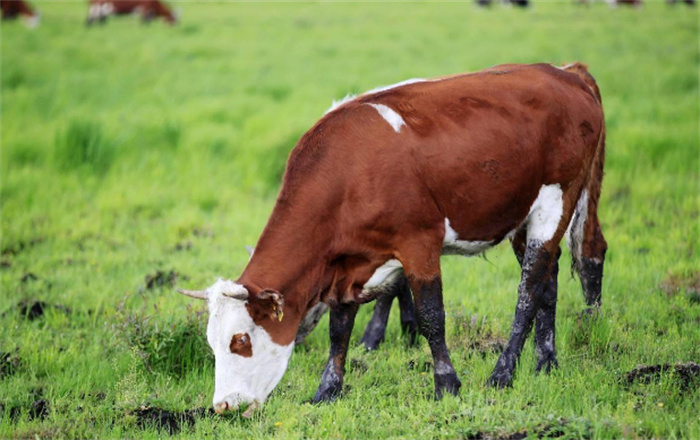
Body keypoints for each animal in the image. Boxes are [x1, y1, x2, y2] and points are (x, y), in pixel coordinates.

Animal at [176, 62, 608, 416]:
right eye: (212, 343)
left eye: (240, 340)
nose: (224, 405)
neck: (351, 171)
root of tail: (565, 72)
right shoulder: (348, 264)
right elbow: (340, 327)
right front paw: (327, 390)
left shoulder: (419, 243)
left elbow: (432, 317)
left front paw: (447, 384)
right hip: (524, 214)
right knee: (548, 281)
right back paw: (545, 362)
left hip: (557, 200)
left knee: (533, 287)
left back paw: (503, 372)